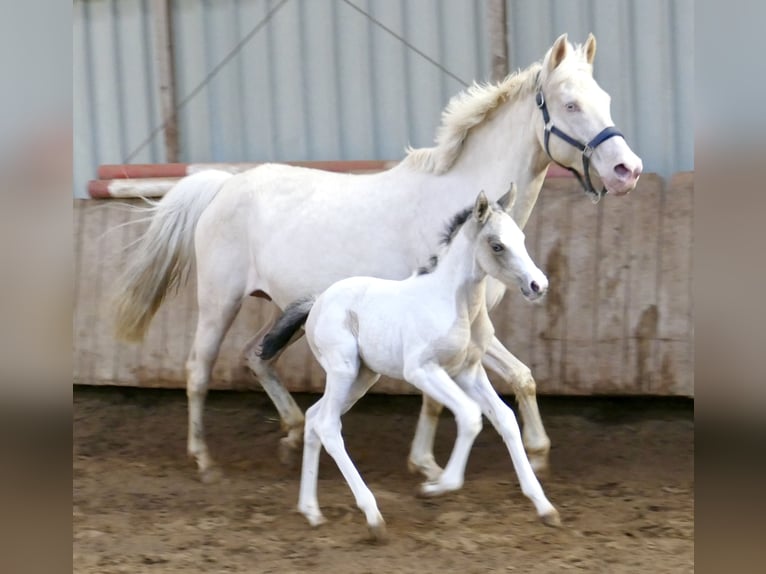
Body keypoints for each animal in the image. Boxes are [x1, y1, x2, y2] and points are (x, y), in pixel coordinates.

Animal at [113, 33, 642, 484]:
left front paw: (536, 451)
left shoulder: (476, 327)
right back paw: (205, 460)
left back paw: (291, 433)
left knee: (256, 356)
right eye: (570, 104)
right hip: (219, 302)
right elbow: (442, 397)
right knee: (198, 370)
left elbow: (522, 378)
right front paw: (426, 464)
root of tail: (225, 185)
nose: (627, 170)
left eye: (606, 100)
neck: (454, 212)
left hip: (285, 307)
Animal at [258, 187, 560, 541]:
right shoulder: (421, 370)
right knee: (328, 425)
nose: (538, 285)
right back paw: (372, 516)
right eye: (497, 245)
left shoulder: (469, 372)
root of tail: (317, 301)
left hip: (363, 376)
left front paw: (545, 508)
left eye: (522, 239)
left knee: (314, 418)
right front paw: (435, 486)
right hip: (343, 370)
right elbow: (471, 416)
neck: (456, 305)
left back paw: (312, 511)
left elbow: (506, 419)